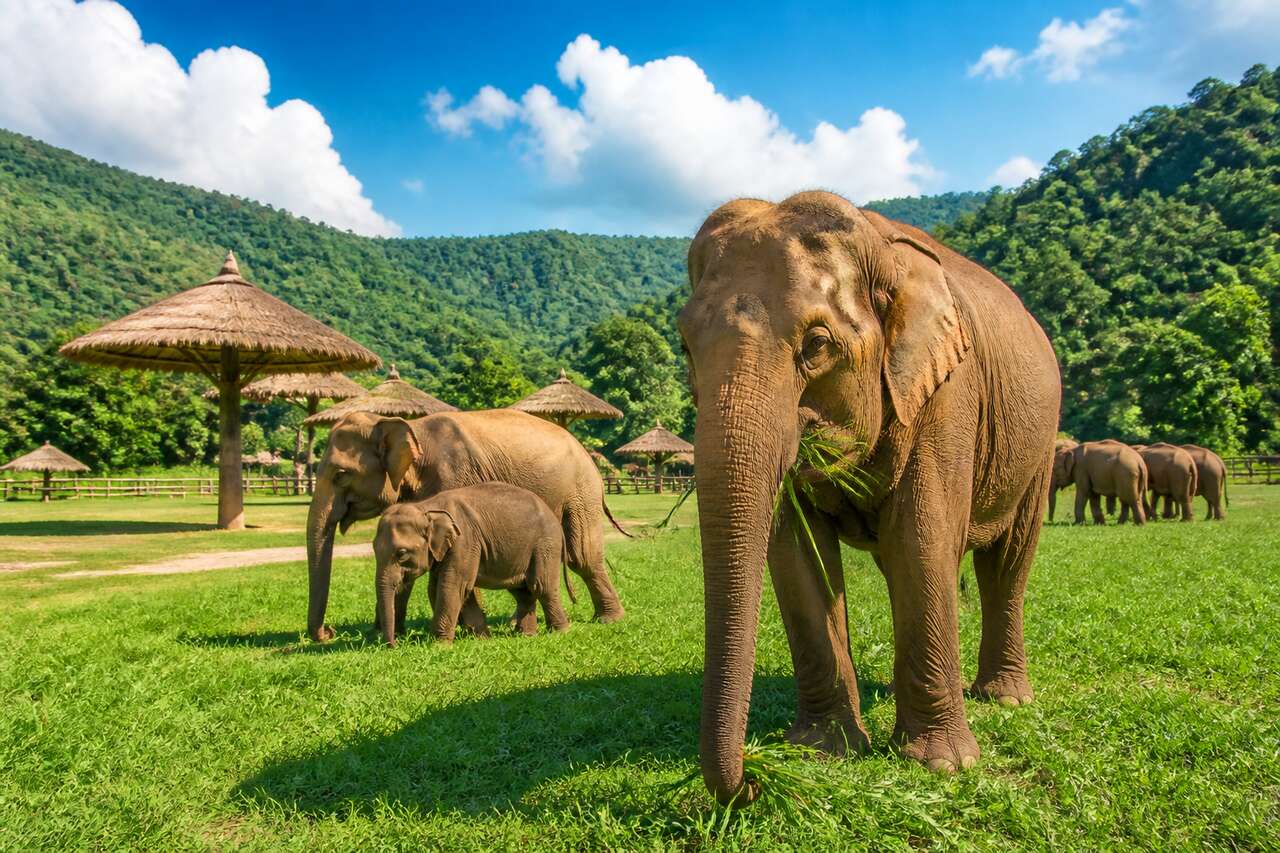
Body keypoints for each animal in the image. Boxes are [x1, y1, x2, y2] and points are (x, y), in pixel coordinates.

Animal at [373, 483, 571, 646]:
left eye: (401, 553)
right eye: (373, 548)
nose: (394, 644)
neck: (426, 507)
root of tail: (554, 516)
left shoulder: (464, 541)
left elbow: (453, 586)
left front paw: (439, 644)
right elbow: (440, 588)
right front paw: (483, 639)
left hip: (545, 545)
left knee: (542, 586)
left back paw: (560, 632)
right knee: (522, 592)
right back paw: (526, 635)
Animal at [679, 191, 1061, 803]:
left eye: (816, 346)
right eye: (685, 346)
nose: (753, 780)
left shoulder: (947, 393)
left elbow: (922, 540)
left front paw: (943, 766)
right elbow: (798, 557)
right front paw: (822, 751)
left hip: (1039, 447)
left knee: (1005, 562)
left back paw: (1003, 698)